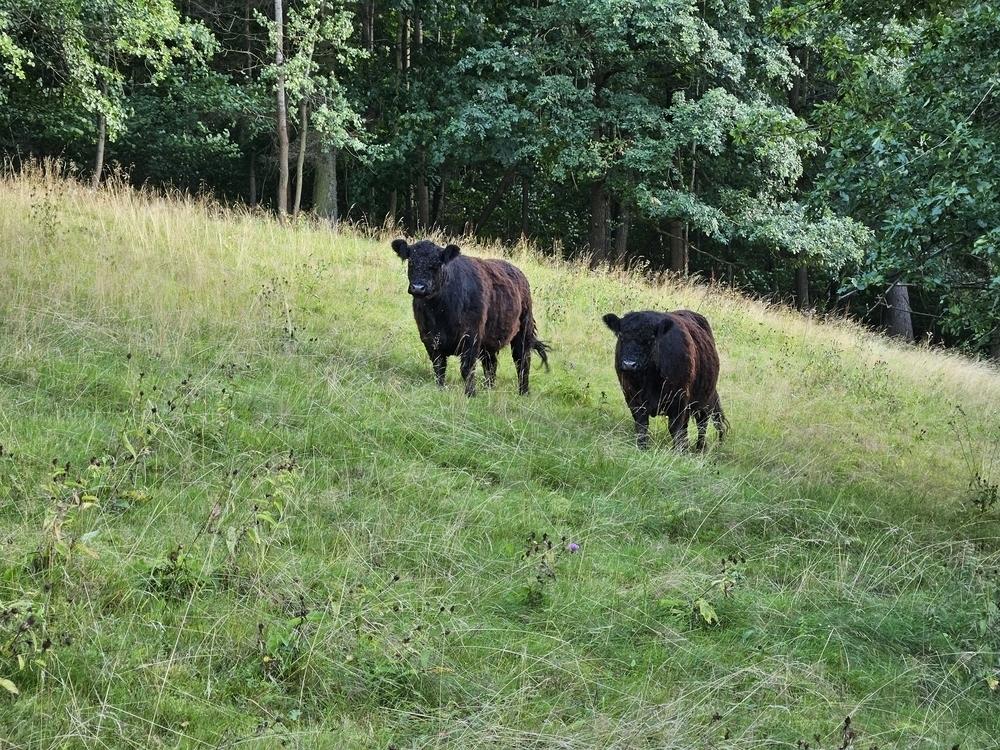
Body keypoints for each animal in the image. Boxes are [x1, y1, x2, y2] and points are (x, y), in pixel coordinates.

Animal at [391, 238, 549, 396]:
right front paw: (440, 390)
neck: (439, 312)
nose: (418, 287)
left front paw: (470, 394)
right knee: (491, 364)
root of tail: (517, 272)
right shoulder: (429, 338)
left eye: (436, 264)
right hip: (489, 340)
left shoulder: (471, 336)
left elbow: (466, 368)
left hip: (524, 329)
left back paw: (523, 392)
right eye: (411, 262)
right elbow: (439, 367)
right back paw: (488, 389)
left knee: (522, 360)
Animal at [602, 309, 727, 450]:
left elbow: (675, 429)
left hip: (704, 398)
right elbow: (641, 426)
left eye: (651, 339)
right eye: (621, 335)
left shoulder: (679, 400)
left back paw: (700, 448)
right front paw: (642, 448)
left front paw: (679, 451)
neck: (648, 380)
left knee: (702, 423)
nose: (629, 364)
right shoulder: (632, 398)